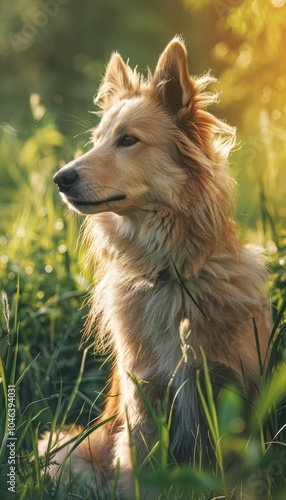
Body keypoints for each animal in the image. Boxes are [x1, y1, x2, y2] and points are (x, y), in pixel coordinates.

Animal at [39, 37, 270, 494]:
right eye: (96, 140)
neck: (172, 273)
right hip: (70, 450)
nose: (60, 178)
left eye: (128, 140)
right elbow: (143, 475)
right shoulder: (145, 401)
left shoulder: (234, 394)